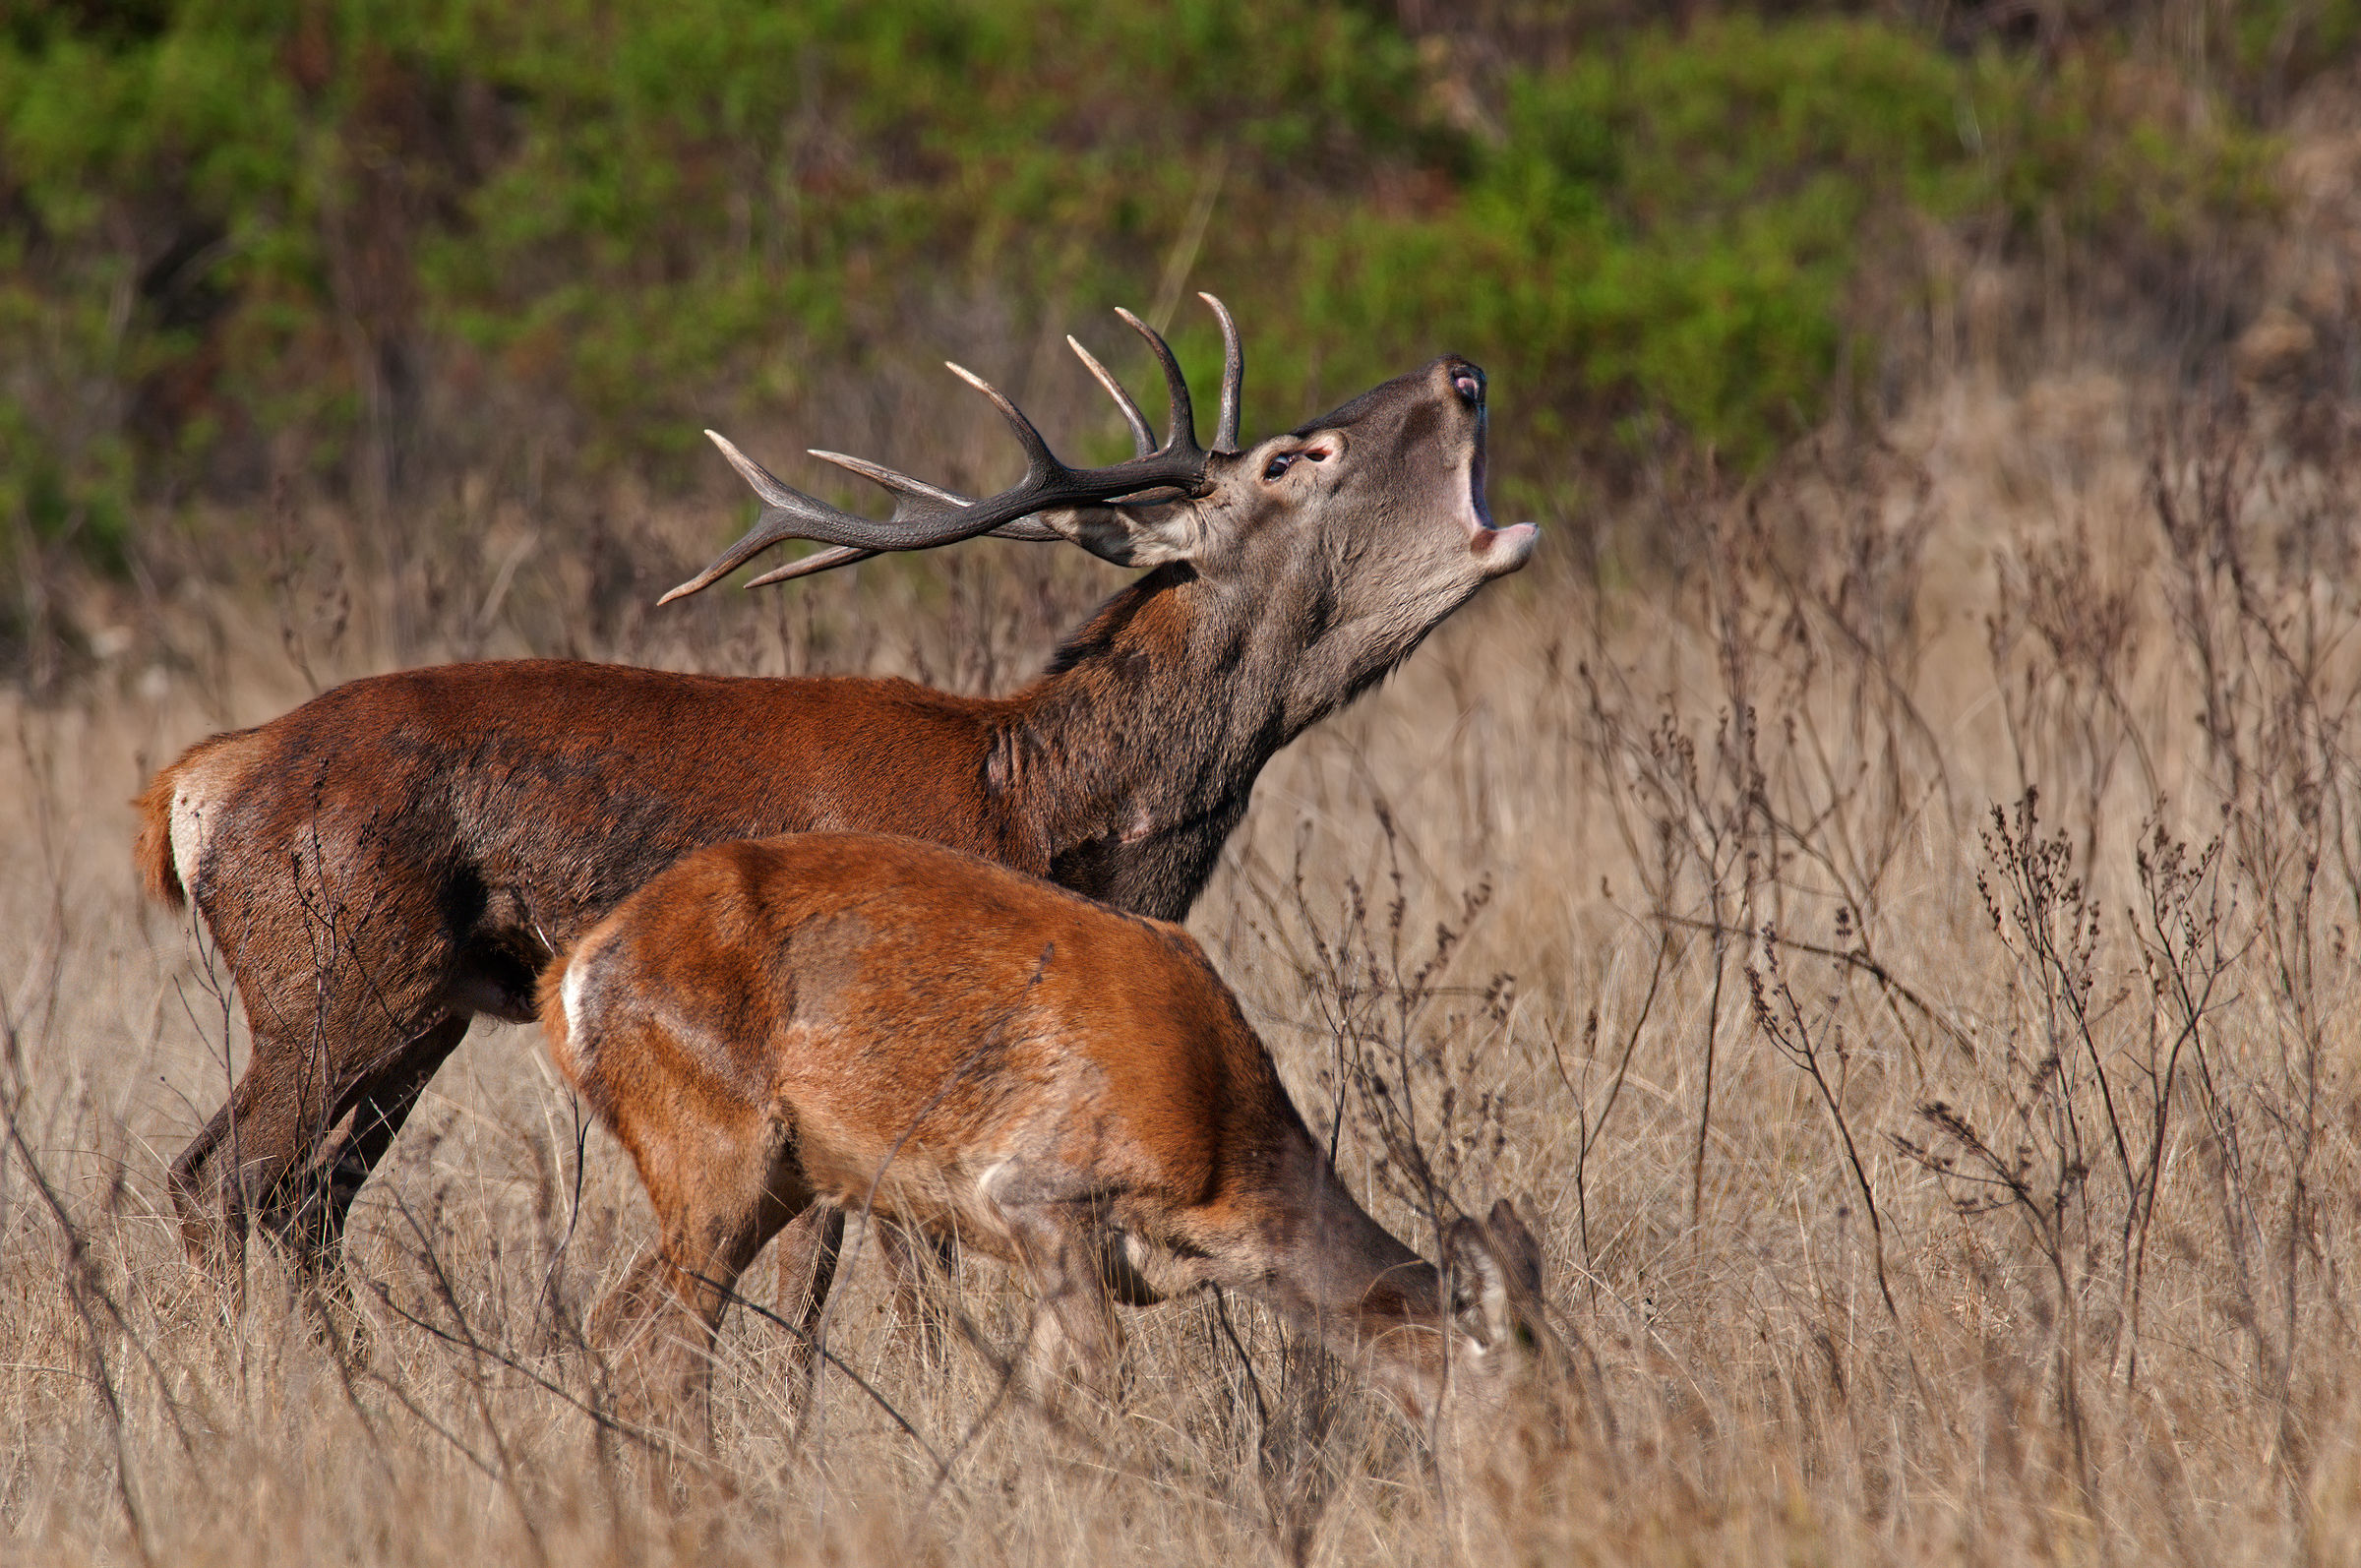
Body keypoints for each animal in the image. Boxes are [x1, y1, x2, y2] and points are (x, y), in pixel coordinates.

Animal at [133, 296, 1537, 1332]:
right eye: (1298, 456)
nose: (1465, 367)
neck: (1035, 800)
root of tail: (198, 784)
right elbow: (894, 1293)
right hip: (334, 977)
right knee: (216, 1183)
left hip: (412, 1011)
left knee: (309, 1205)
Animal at [539, 830, 1558, 1434]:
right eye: (1543, 1401)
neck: (1221, 1179)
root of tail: (572, 975)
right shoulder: (1038, 1189)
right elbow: (1106, 1385)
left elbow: (1025, 1402)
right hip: (714, 1147)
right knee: (672, 1347)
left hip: (771, 1177)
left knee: (620, 1318)